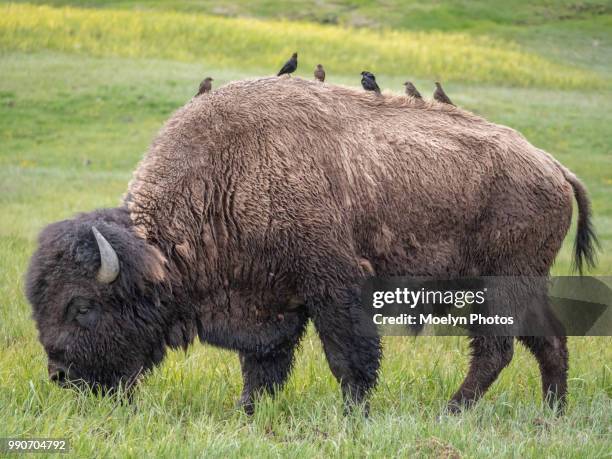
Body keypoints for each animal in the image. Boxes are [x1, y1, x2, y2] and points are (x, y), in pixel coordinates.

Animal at [26, 77, 596, 416]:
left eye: (82, 306)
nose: (60, 376)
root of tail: (552, 165)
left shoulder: (334, 287)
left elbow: (348, 358)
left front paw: (353, 415)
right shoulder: (267, 300)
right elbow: (263, 365)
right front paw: (247, 412)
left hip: (497, 286)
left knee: (497, 348)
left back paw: (453, 411)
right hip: (523, 286)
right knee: (547, 341)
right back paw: (551, 412)